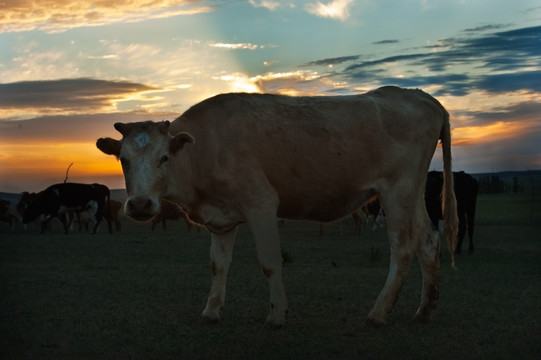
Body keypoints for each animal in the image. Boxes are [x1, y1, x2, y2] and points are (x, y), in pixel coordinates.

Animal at [96, 86, 456, 326]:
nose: (140, 204)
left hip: (397, 191)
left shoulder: (261, 203)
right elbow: (218, 264)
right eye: (123, 160)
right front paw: (211, 310)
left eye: (164, 157)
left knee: (403, 247)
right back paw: (426, 308)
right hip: (413, 191)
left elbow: (270, 262)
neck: (205, 148)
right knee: (428, 240)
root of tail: (418, 95)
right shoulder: (221, 219)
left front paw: (277, 314)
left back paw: (379, 312)